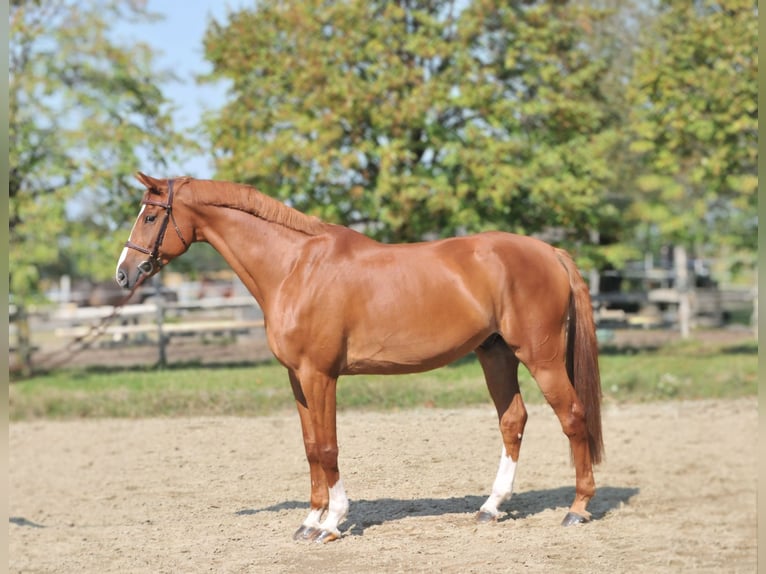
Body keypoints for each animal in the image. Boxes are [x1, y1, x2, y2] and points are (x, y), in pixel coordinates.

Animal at [115, 174, 608, 544]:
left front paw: (331, 523)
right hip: (496, 354)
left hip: (541, 357)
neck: (295, 267)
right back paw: (491, 507)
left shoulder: (320, 375)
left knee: (572, 415)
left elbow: (327, 447)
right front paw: (309, 520)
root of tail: (550, 252)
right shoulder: (297, 378)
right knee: (513, 420)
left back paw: (578, 508)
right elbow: (310, 447)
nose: (123, 273)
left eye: (152, 216)